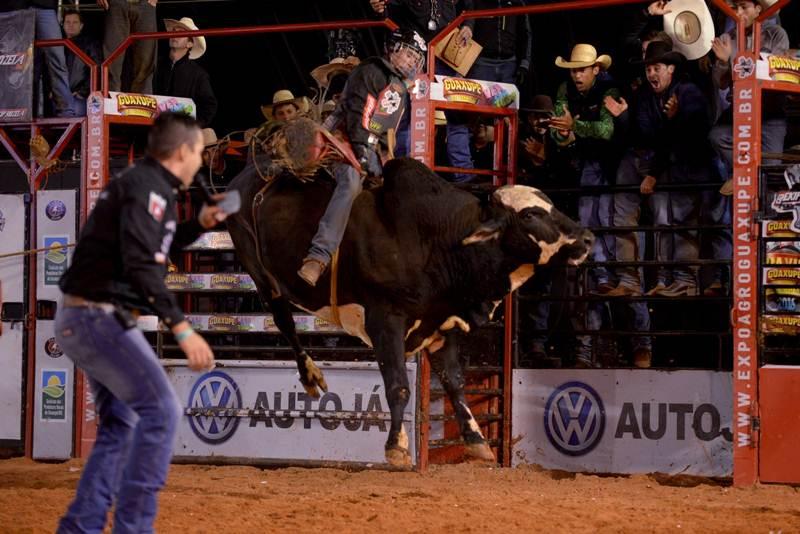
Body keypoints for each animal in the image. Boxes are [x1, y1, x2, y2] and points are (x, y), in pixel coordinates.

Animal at [227, 157, 592, 466]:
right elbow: (398, 385)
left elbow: (455, 382)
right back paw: (311, 375)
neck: (438, 238)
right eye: (530, 215)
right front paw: (396, 448)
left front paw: (476, 441)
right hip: (261, 274)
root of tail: (245, 176)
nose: (586, 238)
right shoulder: (385, 321)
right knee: (284, 321)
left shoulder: (442, 323)